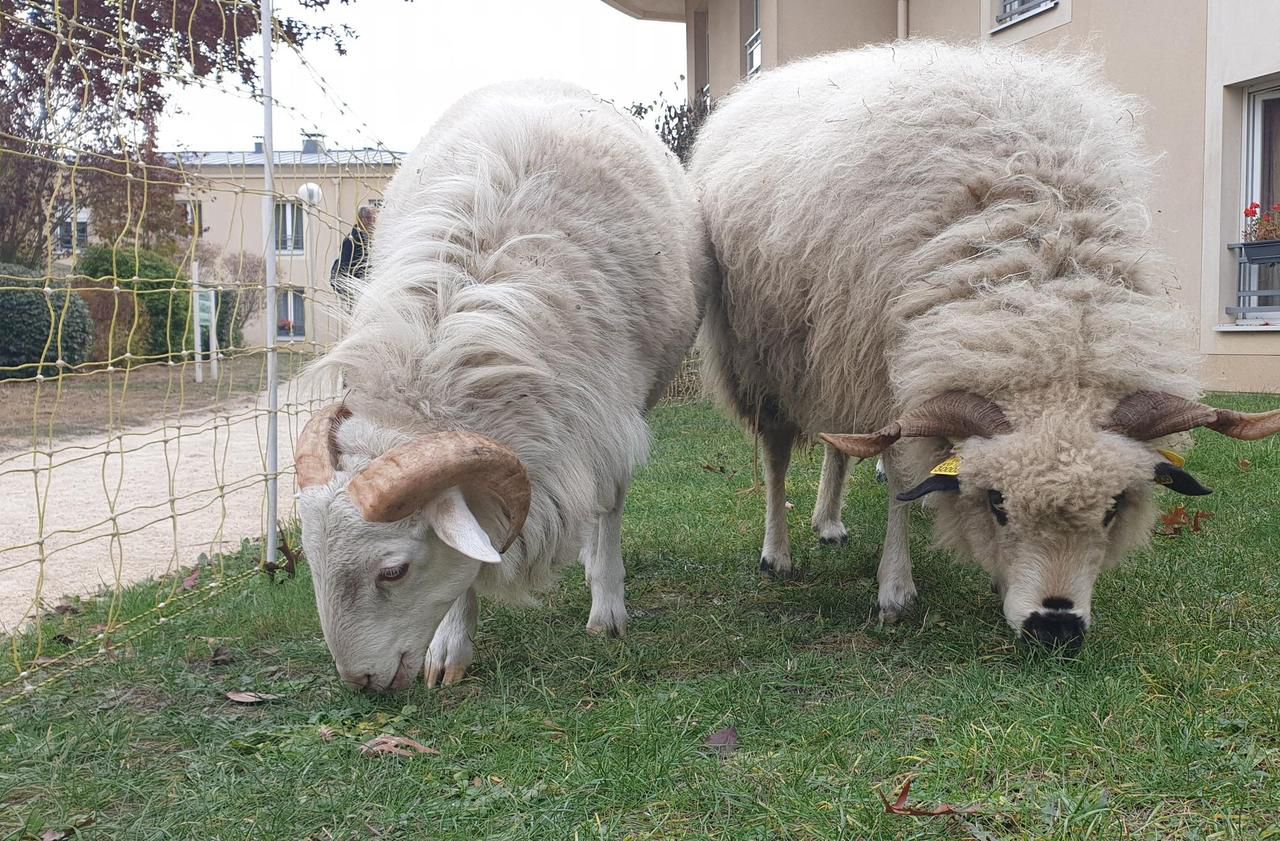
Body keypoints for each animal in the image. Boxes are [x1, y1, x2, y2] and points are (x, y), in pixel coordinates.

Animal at [294, 80, 711, 691]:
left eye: (393, 570)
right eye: (309, 558)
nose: (360, 682)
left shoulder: (610, 421)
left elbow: (608, 509)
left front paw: (608, 609)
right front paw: (450, 645)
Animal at [691, 40, 1280, 650]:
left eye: (1114, 507)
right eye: (996, 503)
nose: (1055, 626)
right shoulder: (889, 373)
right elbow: (901, 478)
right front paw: (894, 589)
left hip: (833, 350)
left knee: (840, 441)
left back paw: (828, 521)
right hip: (764, 358)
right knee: (777, 452)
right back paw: (777, 552)